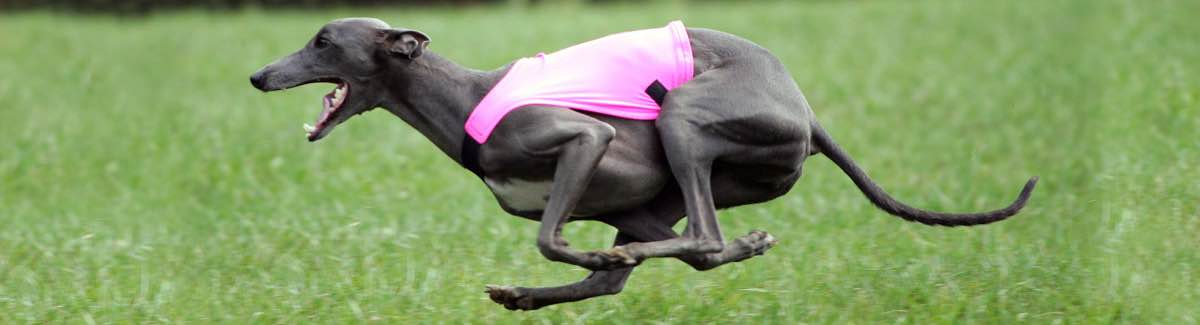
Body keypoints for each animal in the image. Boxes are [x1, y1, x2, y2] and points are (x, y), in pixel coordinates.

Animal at [248, 17, 1036, 311]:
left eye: (323, 42)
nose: (257, 75)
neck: (461, 95)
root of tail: (806, 113)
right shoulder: (626, 195)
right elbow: (599, 265)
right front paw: (553, 279)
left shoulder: (583, 140)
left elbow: (553, 236)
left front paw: (580, 254)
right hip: (672, 186)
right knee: (683, 250)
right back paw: (533, 292)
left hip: (685, 120)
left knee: (704, 240)